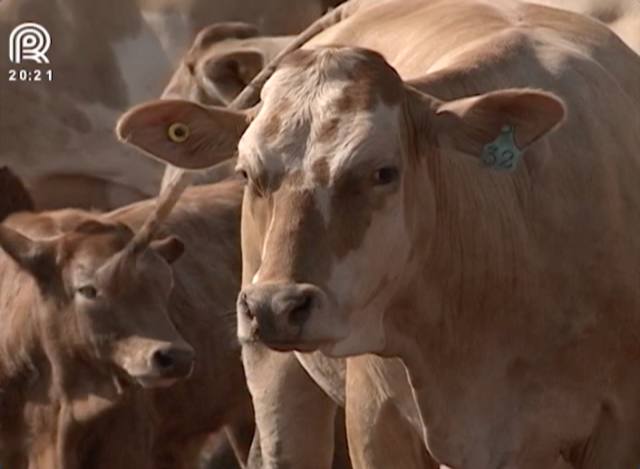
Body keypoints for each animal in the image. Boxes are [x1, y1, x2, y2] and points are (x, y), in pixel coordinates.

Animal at [117, 0, 640, 464]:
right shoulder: (375, 415)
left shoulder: (618, 426)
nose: (275, 307)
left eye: (383, 172)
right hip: (273, 368)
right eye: (246, 172)